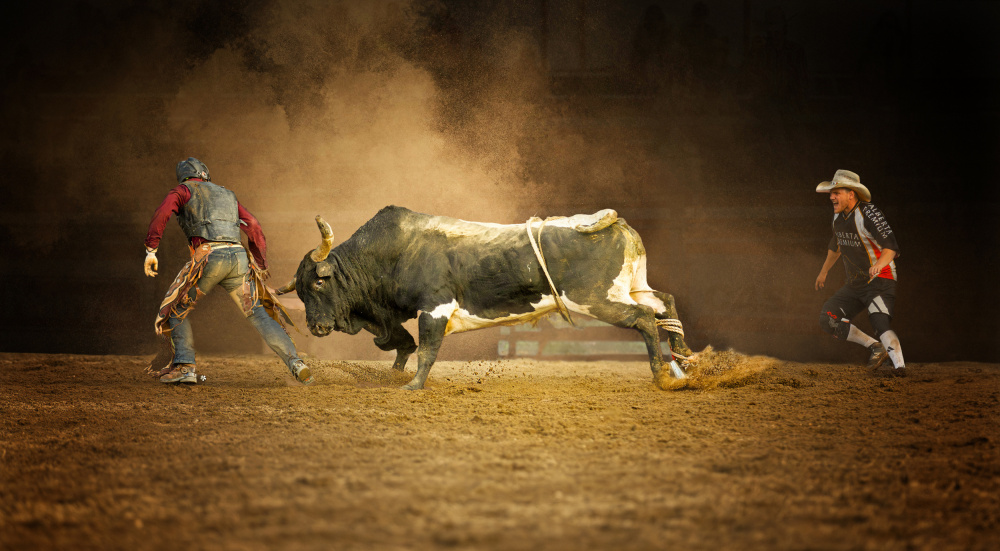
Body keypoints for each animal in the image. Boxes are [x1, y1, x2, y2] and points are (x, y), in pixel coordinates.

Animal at [277, 206, 695, 390]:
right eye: (300, 290)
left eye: (318, 284)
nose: (315, 327)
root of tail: (615, 222)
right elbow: (402, 343)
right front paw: (397, 370)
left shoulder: (434, 308)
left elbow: (426, 349)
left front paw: (413, 385)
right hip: (630, 287)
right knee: (664, 303)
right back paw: (686, 357)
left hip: (597, 298)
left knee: (644, 318)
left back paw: (663, 375)